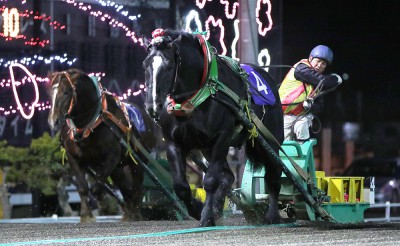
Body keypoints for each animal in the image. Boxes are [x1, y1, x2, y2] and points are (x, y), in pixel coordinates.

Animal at [47, 68, 157, 223]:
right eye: (51, 93)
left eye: (66, 92)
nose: (53, 121)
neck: (89, 125)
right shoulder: (73, 158)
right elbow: (82, 188)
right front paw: (86, 215)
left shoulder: (112, 156)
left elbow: (97, 187)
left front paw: (103, 203)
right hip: (119, 168)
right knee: (127, 189)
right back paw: (128, 213)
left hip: (138, 160)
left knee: (137, 187)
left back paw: (135, 214)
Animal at [144, 29, 284, 227]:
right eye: (145, 66)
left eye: (169, 66)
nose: (152, 105)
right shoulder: (174, 143)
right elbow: (180, 186)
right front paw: (198, 209)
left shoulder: (221, 138)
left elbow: (210, 180)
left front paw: (206, 216)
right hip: (207, 148)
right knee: (228, 176)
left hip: (270, 141)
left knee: (274, 173)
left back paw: (272, 215)